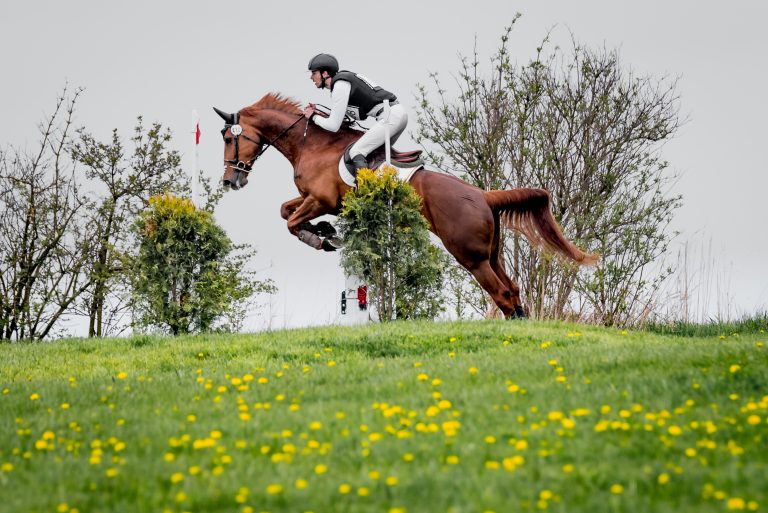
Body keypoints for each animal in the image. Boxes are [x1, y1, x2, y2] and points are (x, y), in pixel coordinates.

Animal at [213, 92, 596, 316]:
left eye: (230, 139)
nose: (231, 181)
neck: (312, 144)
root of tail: (484, 195)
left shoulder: (322, 199)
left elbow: (292, 221)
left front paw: (322, 237)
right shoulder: (315, 200)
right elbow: (285, 211)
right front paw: (323, 231)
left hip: (469, 254)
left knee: (502, 294)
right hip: (491, 253)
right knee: (512, 291)